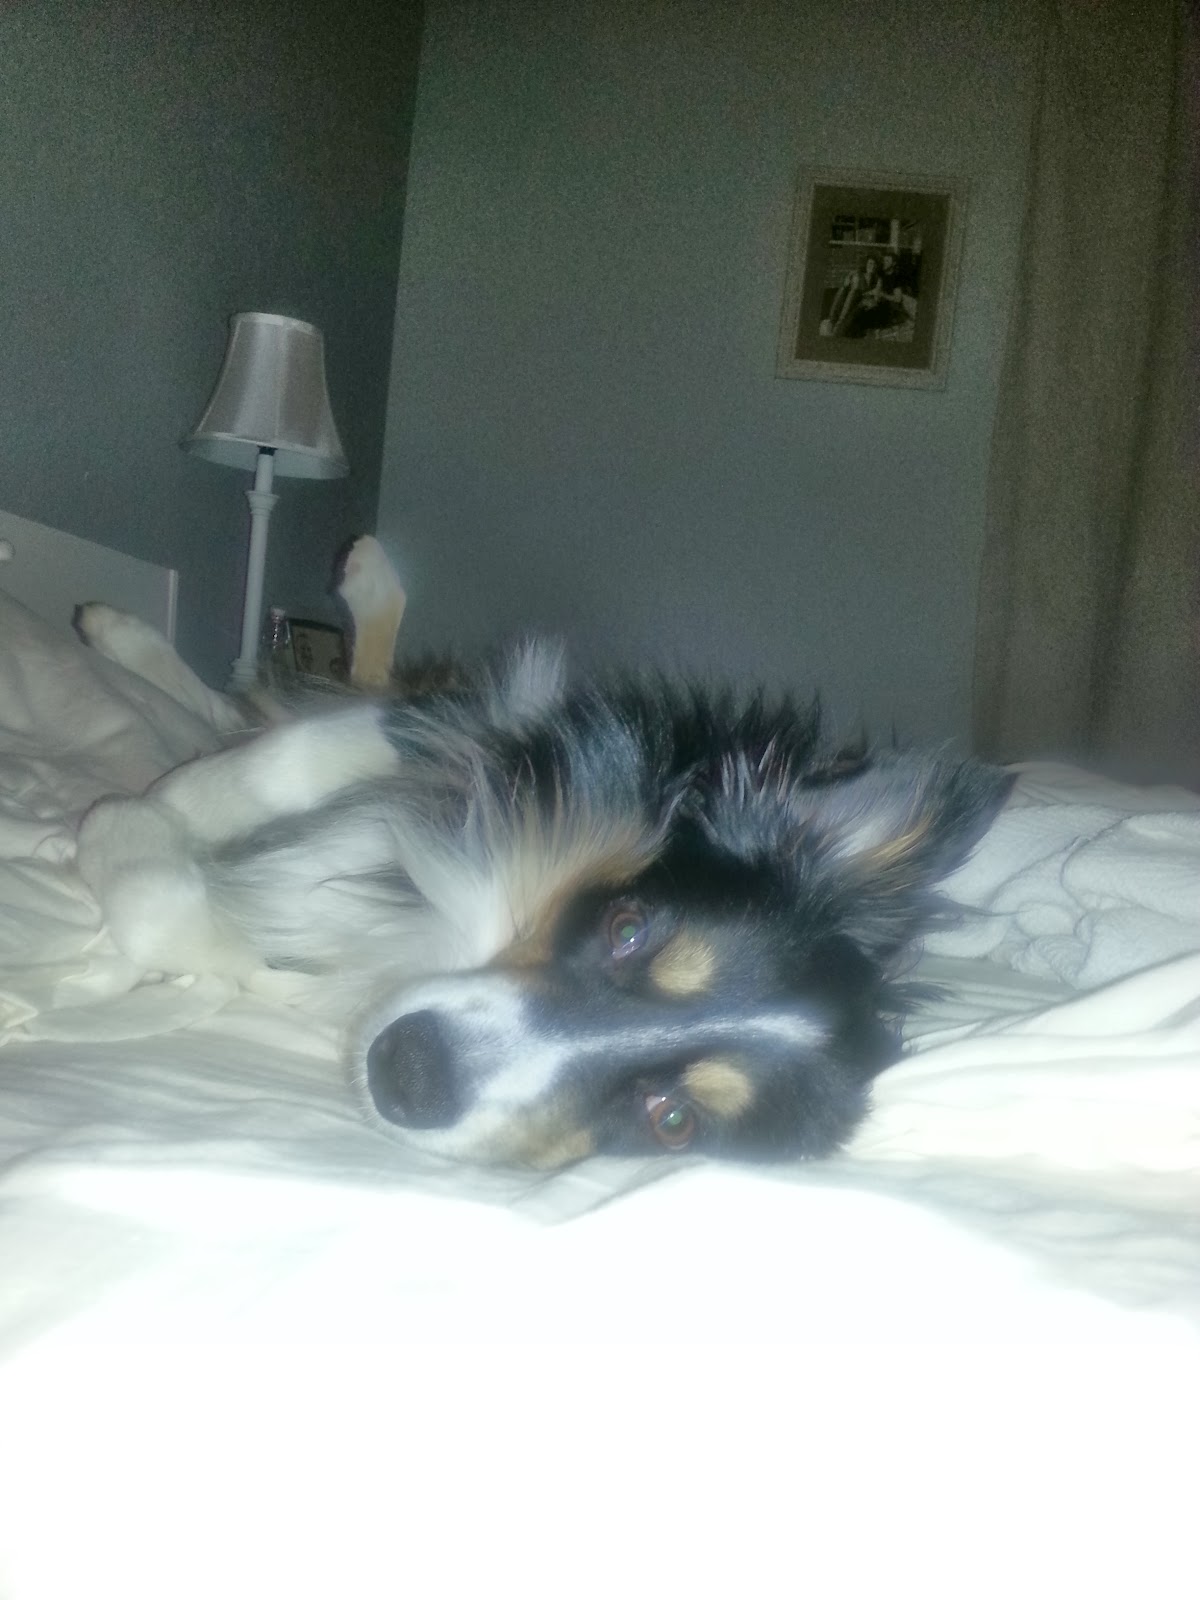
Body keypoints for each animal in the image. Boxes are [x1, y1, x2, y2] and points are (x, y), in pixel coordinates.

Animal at [74, 566, 1011, 1171]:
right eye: (628, 929)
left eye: (673, 1121)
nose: (408, 1072)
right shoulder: (512, 734)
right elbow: (283, 765)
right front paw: (157, 813)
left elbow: (203, 926)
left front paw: (148, 856)